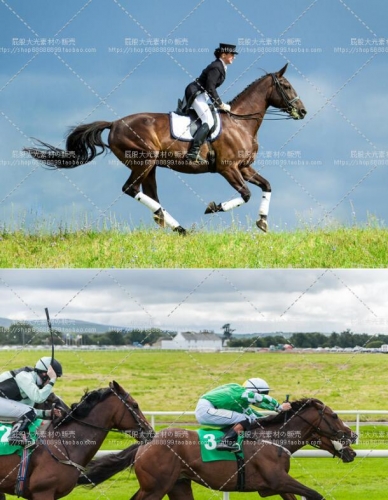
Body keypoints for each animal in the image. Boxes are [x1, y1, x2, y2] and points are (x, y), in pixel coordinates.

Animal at [23, 63, 306, 233]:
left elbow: (266, 186)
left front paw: (262, 221)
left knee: (151, 197)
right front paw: (213, 207)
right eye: (287, 86)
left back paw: (170, 227)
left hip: (150, 167)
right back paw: (179, 229)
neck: (240, 123)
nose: (302, 111)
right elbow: (245, 194)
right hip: (143, 161)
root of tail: (114, 123)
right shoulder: (228, 169)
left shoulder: (244, 167)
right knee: (131, 190)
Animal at [79, 398, 358, 500]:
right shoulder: (277, 480)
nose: (353, 437)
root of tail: (147, 443)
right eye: (334, 416)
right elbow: (315, 494)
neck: (274, 439)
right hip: (155, 487)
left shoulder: (278, 486)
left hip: (177, 484)